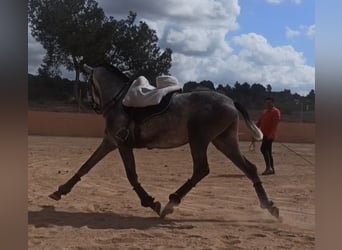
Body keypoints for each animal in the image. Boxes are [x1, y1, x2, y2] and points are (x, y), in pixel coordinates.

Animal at [49, 64, 280, 219]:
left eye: (89, 84)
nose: (93, 105)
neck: (119, 101)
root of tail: (230, 101)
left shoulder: (121, 144)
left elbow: (131, 176)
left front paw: (151, 203)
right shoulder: (110, 141)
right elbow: (86, 166)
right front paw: (60, 191)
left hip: (200, 140)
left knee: (201, 169)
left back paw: (171, 203)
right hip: (223, 141)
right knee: (249, 168)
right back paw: (269, 206)